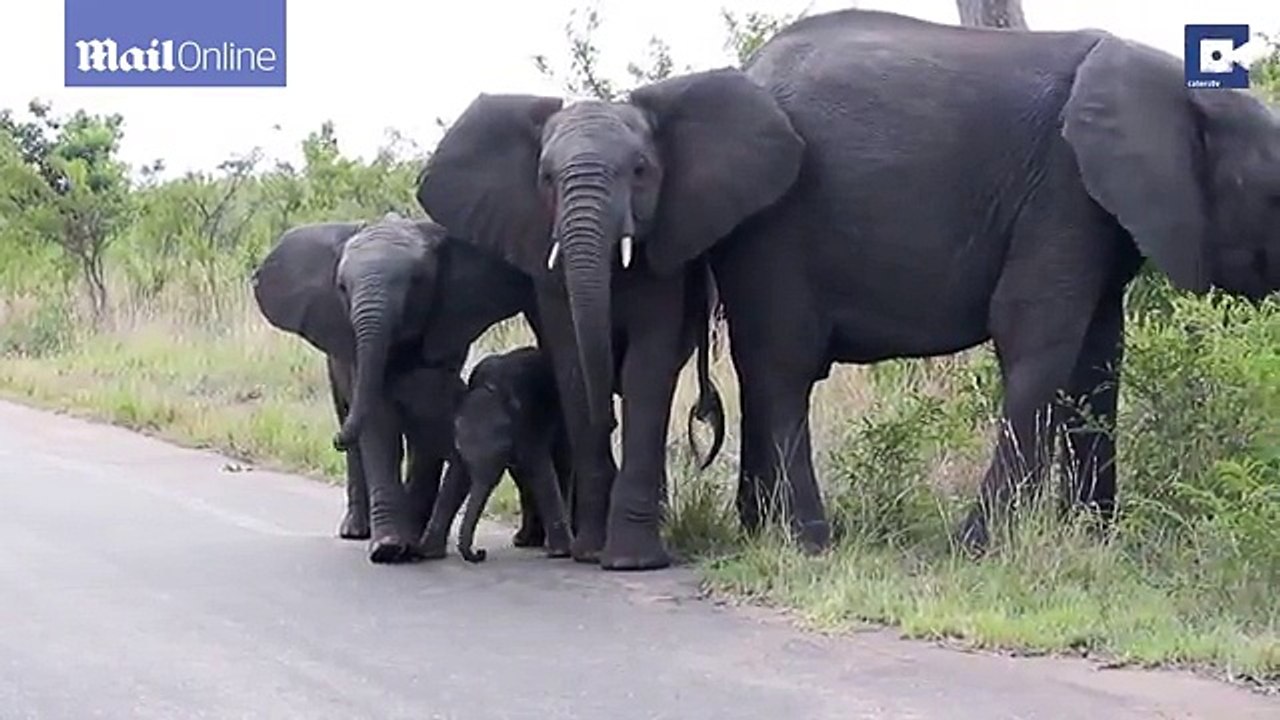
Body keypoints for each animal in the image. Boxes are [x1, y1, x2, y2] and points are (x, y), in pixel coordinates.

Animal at [251, 212, 536, 562]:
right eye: (341, 288)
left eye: (417, 282)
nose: (335, 440)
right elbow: (378, 422)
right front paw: (387, 548)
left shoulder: (447, 328)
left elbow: (427, 420)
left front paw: (410, 544)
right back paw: (356, 530)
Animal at [420, 346, 573, 563]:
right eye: (459, 447)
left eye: (503, 448)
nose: (480, 552)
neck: (493, 389)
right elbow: (456, 478)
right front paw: (428, 552)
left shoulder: (530, 420)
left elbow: (540, 470)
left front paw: (559, 553)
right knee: (523, 480)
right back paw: (524, 541)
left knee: (561, 467)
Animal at [693, 9, 1277, 552]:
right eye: (1275, 192)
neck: (1178, 85)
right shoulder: (1063, 188)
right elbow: (1036, 338)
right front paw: (977, 549)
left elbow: (1099, 357)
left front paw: (1092, 541)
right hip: (774, 225)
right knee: (783, 366)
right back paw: (809, 542)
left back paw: (758, 530)